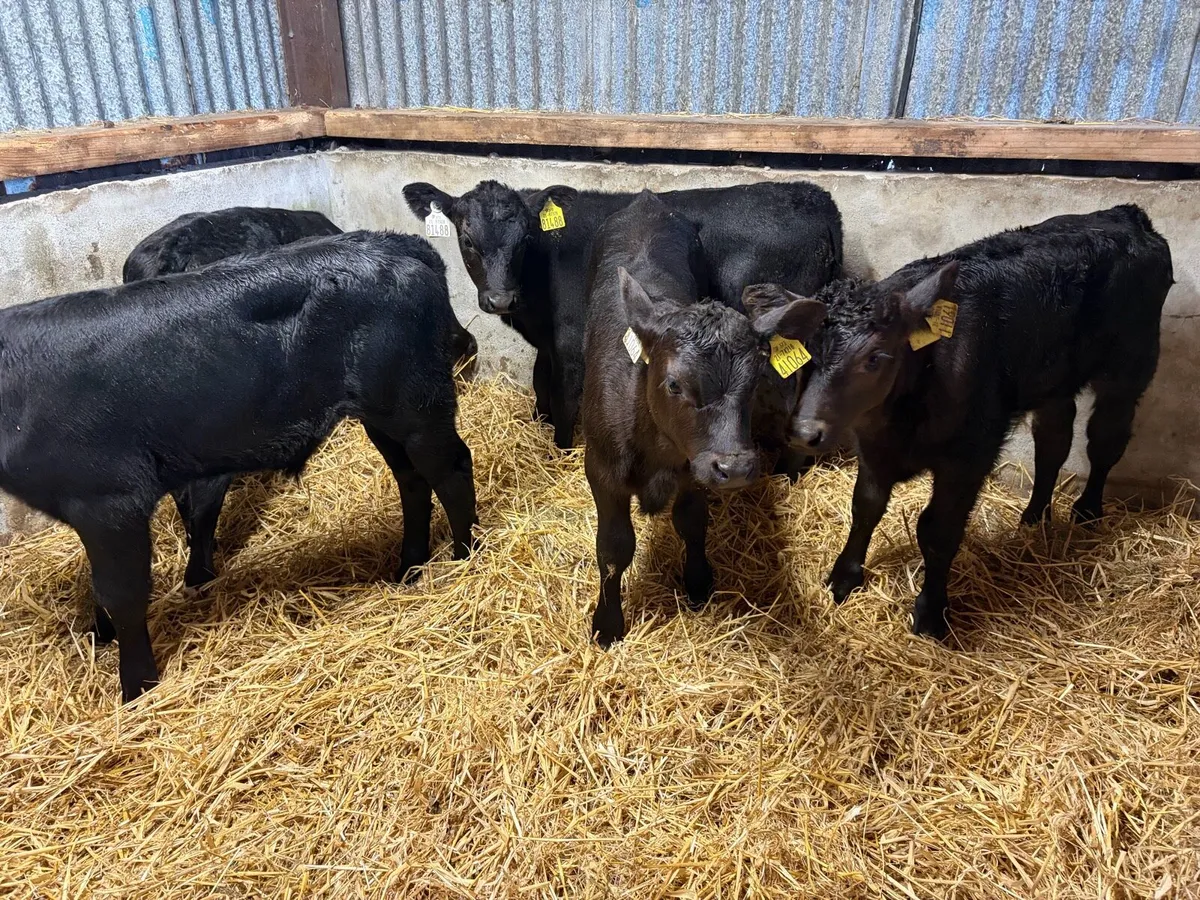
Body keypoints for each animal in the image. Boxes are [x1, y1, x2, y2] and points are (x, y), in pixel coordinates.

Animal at [402, 179, 842, 465]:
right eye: (467, 241)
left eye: (525, 240)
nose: (500, 298)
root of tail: (816, 197)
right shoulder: (549, 343)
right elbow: (541, 382)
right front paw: (541, 424)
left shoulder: (570, 342)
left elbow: (563, 397)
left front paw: (560, 451)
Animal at [581, 191, 827, 646]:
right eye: (674, 384)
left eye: (756, 379)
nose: (735, 467)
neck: (658, 449)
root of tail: (646, 200)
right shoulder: (602, 470)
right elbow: (613, 548)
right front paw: (607, 623)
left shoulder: (695, 468)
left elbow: (692, 524)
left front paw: (697, 583)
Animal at [781, 204, 1172, 638]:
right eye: (805, 350)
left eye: (875, 357)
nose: (804, 431)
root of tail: (1128, 215)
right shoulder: (874, 447)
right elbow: (865, 507)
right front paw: (844, 577)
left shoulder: (970, 454)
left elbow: (938, 532)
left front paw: (931, 614)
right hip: (1052, 379)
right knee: (1053, 441)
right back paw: (1034, 516)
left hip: (1131, 364)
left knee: (1105, 439)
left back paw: (1087, 510)